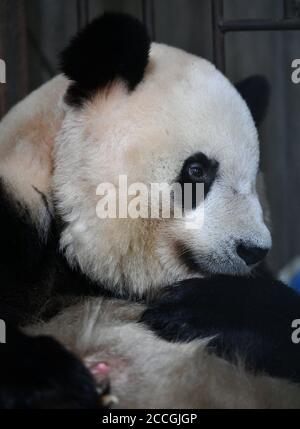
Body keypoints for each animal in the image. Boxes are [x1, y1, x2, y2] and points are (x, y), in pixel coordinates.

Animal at [1, 12, 300, 408]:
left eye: (252, 179)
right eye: (197, 170)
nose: (253, 250)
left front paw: (198, 309)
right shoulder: (20, 216)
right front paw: (52, 378)